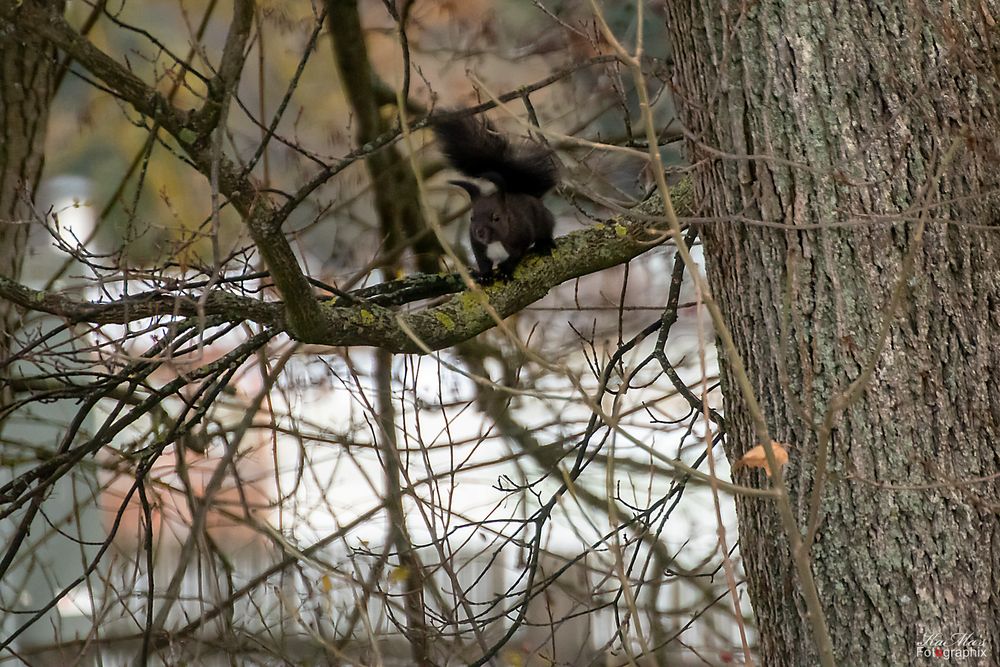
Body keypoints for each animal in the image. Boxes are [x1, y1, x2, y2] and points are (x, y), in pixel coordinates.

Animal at [432, 113, 560, 280]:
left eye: (496, 217)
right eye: (471, 218)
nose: (479, 232)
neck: (495, 242)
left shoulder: (521, 237)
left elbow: (515, 256)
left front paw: (505, 270)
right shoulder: (478, 246)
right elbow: (483, 262)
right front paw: (485, 276)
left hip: (543, 219)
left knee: (546, 230)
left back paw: (544, 245)